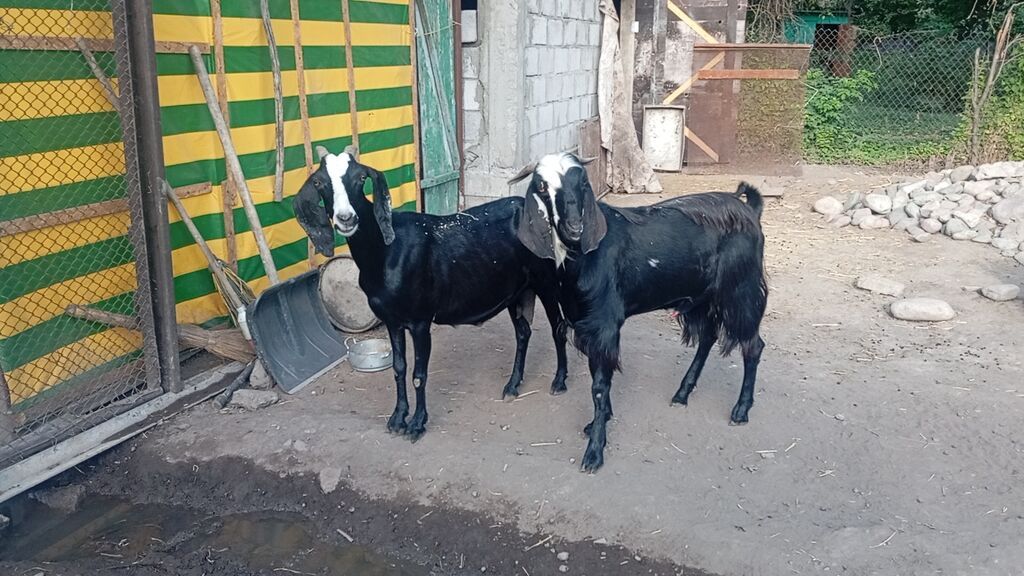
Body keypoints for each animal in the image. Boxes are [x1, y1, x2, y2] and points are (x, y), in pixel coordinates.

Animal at [293, 148, 569, 440]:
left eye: (360, 178)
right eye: (319, 183)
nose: (346, 218)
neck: (386, 252)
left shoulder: (420, 320)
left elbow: (419, 374)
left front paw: (416, 424)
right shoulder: (392, 320)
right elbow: (399, 368)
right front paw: (397, 418)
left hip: (546, 280)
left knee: (558, 328)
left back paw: (559, 381)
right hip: (517, 289)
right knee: (523, 332)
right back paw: (513, 385)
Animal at [511, 153, 768, 472]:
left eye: (583, 182)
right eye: (542, 187)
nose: (575, 227)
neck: (583, 257)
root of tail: (749, 211)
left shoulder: (605, 322)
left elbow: (599, 385)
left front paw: (594, 451)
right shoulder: (588, 323)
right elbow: (599, 373)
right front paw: (599, 422)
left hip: (740, 292)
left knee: (753, 346)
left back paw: (740, 410)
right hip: (702, 297)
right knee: (708, 338)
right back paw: (682, 393)